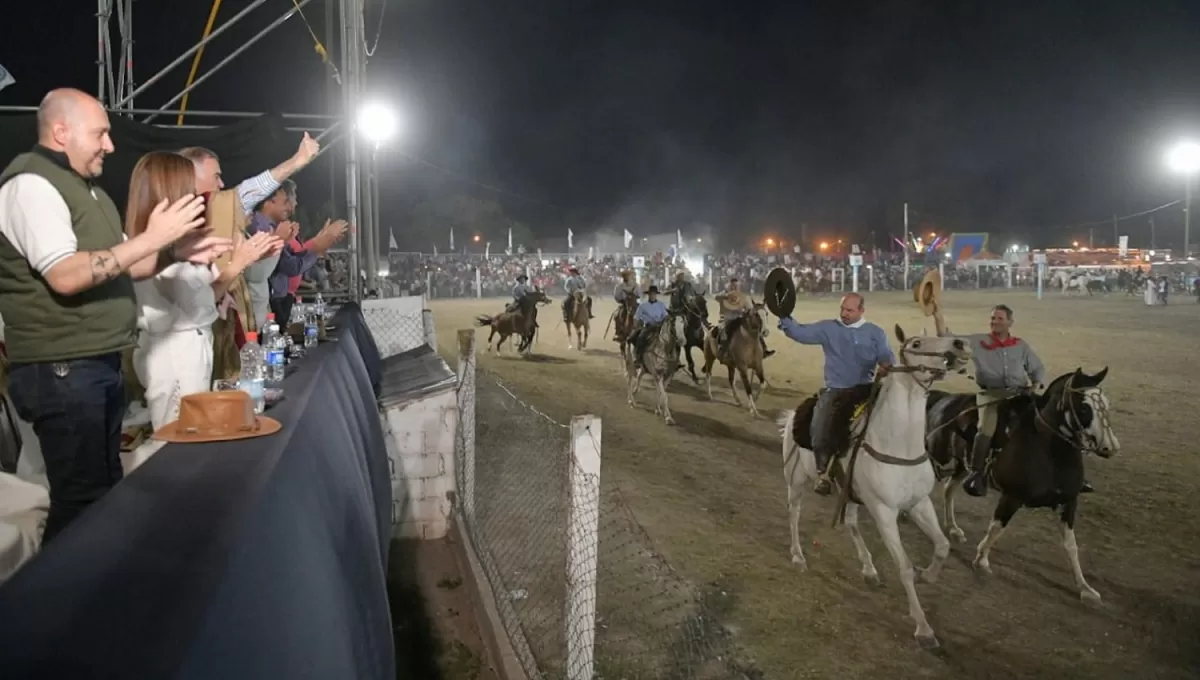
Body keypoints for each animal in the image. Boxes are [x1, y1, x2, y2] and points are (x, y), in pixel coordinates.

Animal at [777, 326, 974, 652]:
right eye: (917, 343)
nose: (960, 345)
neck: (898, 444)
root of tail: (794, 413)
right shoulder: (884, 512)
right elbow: (904, 566)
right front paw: (923, 628)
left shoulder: (918, 503)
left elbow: (943, 546)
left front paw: (927, 575)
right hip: (796, 481)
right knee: (794, 514)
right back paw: (798, 556)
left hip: (851, 495)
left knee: (851, 523)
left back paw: (869, 569)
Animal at [926, 369, 1113, 604]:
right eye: (1084, 407)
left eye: (1106, 403)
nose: (1109, 447)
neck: (1048, 450)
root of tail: (941, 398)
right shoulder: (1011, 496)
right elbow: (997, 528)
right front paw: (982, 560)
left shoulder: (1068, 502)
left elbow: (1071, 546)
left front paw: (1085, 588)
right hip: (939, 460)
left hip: (961, 466)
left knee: (949, 490)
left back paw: (953, 528)